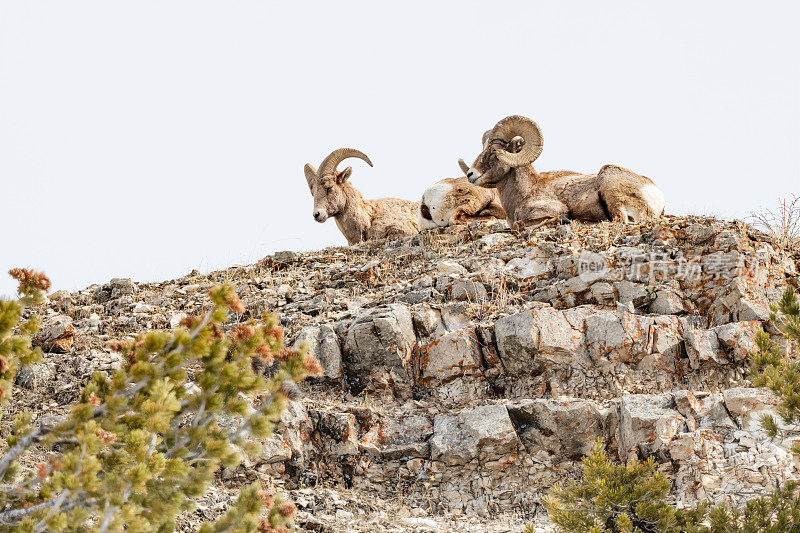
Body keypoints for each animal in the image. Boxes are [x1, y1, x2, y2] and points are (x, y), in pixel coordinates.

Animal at [460, 116, 664, 229]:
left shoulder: (552, 209)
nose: (471, 174)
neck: (526, 192)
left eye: (495, 151)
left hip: (611, 186)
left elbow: (521, 224)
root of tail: (655, 193)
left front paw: (563, 220)